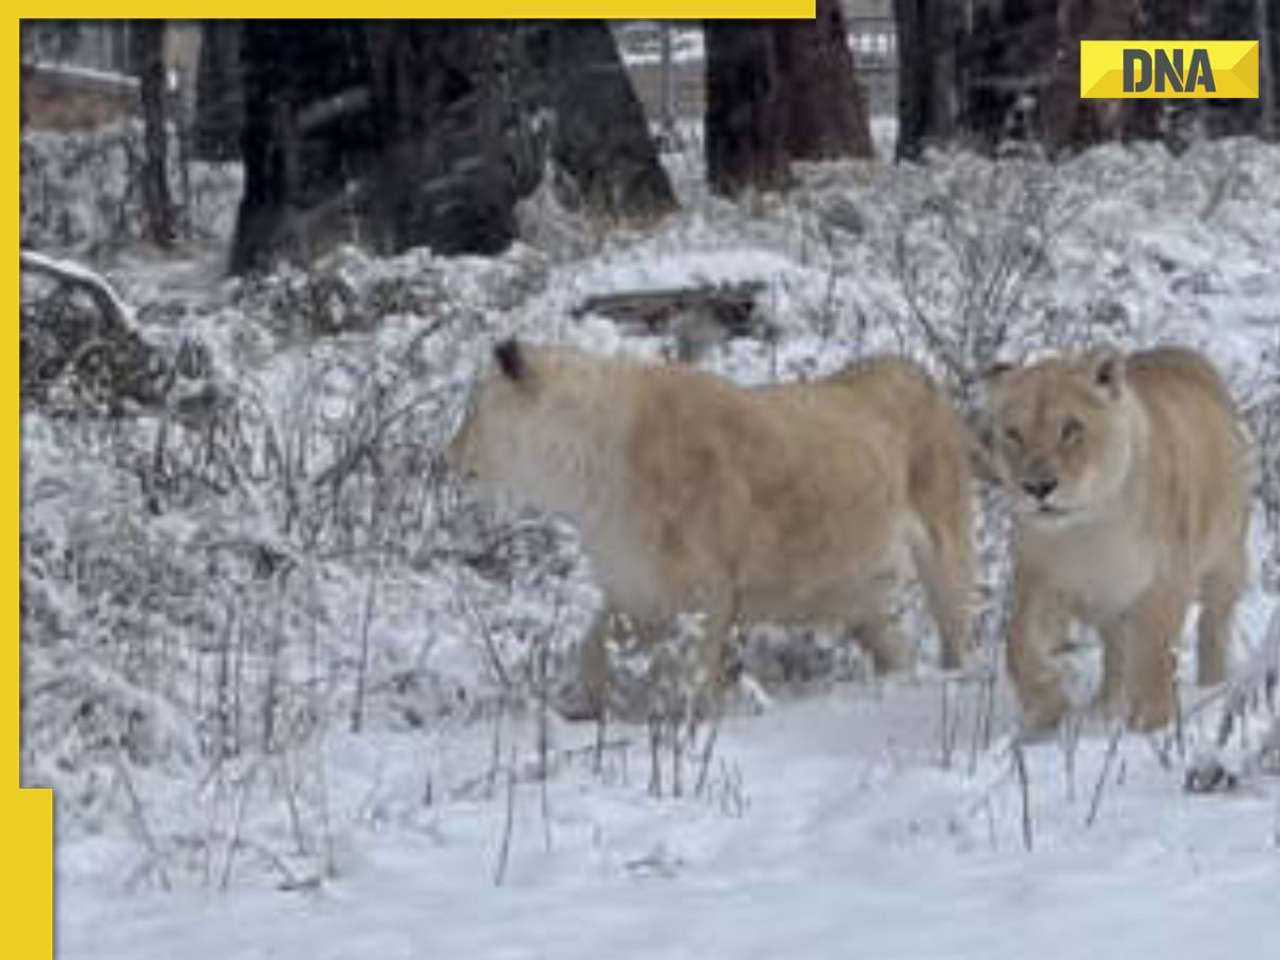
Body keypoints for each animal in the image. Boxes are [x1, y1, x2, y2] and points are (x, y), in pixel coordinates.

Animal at [445, 340, 972, 716]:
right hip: (858, 596)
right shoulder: (636, 586)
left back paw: (955, 681)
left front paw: (689, 721)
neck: (588, 478)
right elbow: (592, 648)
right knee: (897, 650)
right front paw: (583, 710)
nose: (446, 456)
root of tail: (916, 368)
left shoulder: (707, 590)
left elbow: (692, 669)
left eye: (473, 410)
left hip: (946, 547)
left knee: (957, 631)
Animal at [988, 350, 1249, 732]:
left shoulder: (1162, 582)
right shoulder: (1041, 580)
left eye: (1071, 428)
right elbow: (1018, 643)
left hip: (1226, 556)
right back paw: (1104, 707)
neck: (1089, 528)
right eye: (1013, 434)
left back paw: (1212, 687)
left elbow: (1152, 655)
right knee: (1116, 651)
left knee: (1212, 624)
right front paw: (1047, 706)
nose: (1037, 487)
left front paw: (1149, 724)